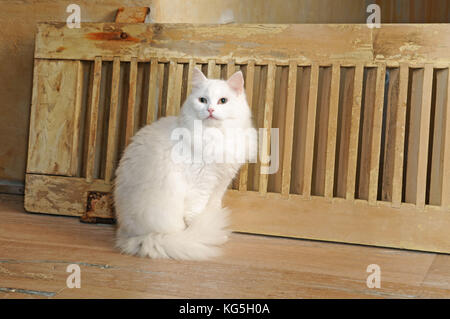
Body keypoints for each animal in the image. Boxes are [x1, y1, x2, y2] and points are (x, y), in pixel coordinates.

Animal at [114, 67, 256, 260]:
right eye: (202, 100)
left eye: (223, 101)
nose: (210, 109)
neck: (215, 135)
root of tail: (130, 235)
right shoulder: (201, 184)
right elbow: (196, 215)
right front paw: (205, 233)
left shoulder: (219, 185)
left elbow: (212, 209)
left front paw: (216, 230)